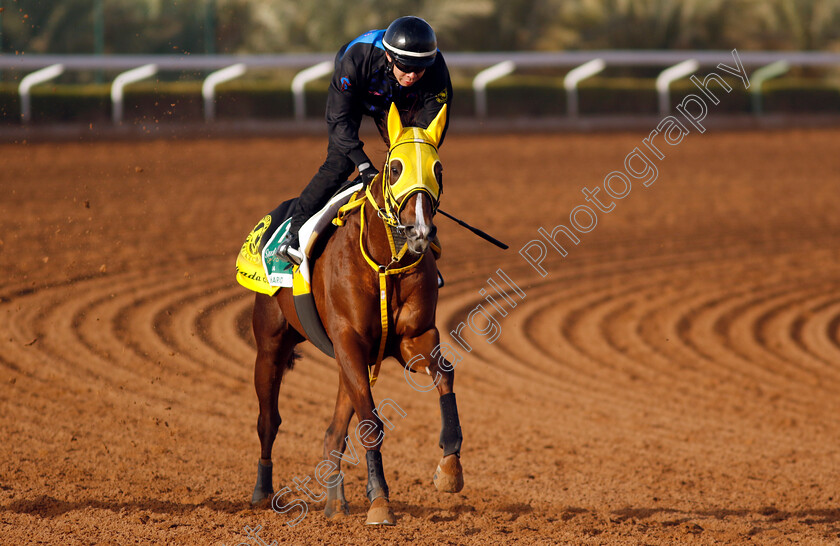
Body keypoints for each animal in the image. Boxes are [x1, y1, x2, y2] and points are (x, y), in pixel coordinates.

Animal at [249, 102, 466, 524]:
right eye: (395, 168)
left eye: (438, 169)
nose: (419, 232)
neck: (384, 260)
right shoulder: (349, 338)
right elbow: (370, 423)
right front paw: (380, 501)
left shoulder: (412, 338)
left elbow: (445, 376)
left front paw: (449, 469)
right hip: (271, 345)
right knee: (269, 422)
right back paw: (263, 492)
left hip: (350, 361)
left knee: (333, 432)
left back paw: (335, 502)